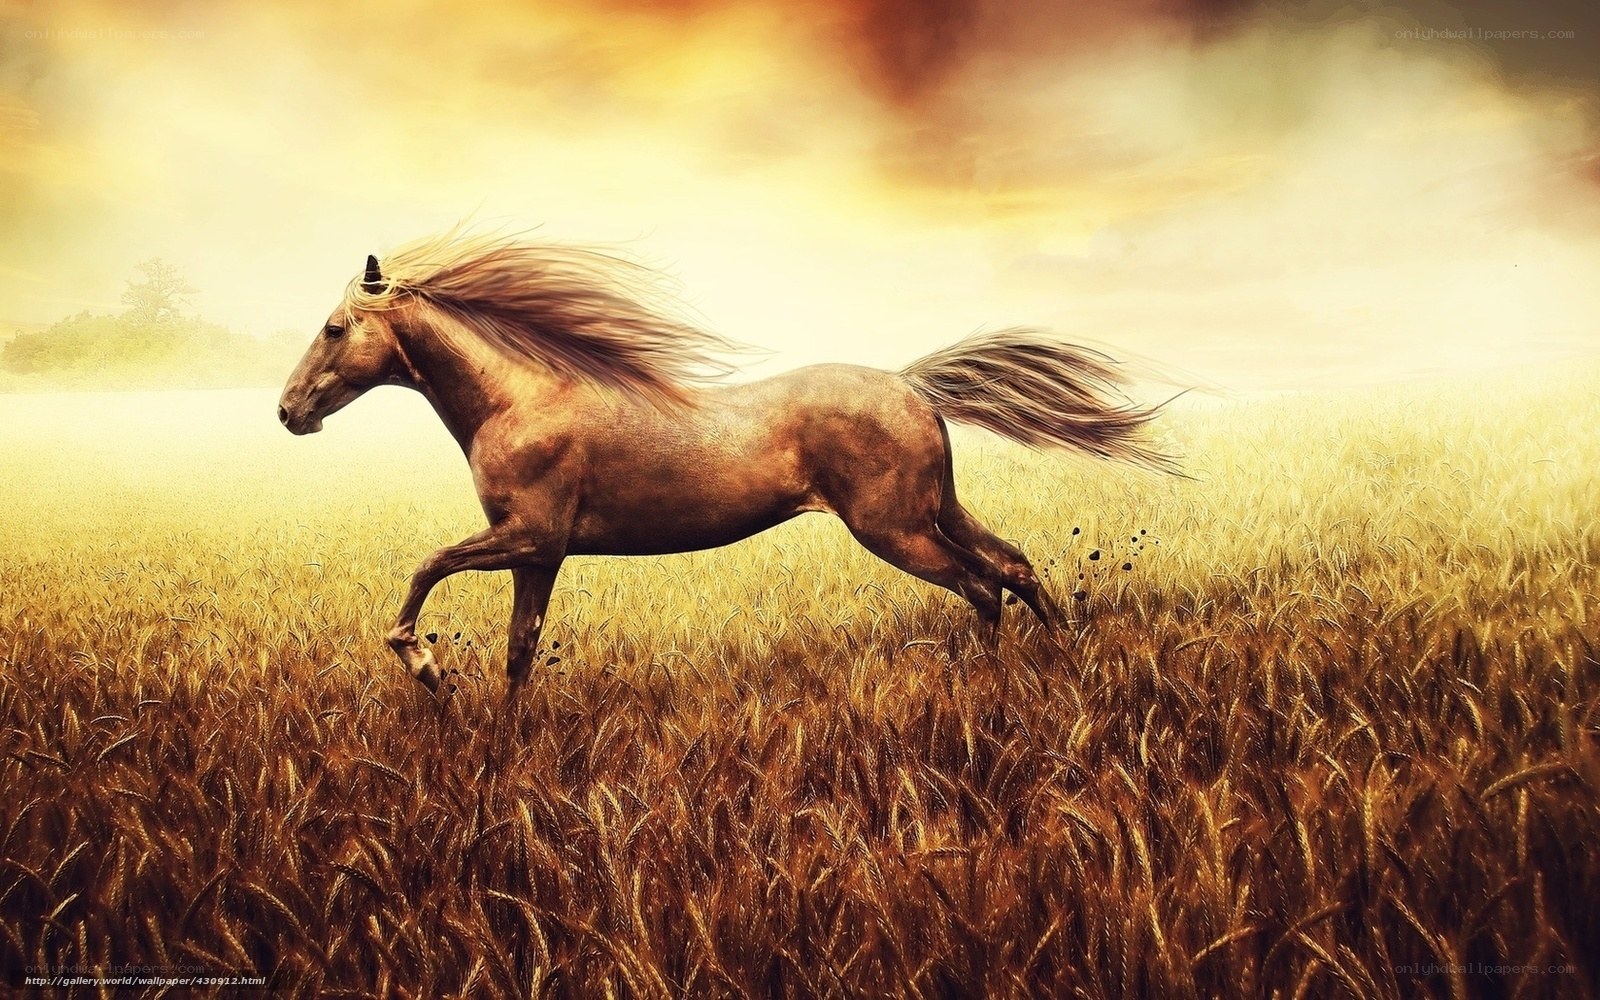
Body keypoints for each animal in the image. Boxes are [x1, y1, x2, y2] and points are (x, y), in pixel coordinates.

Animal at [277, 231, 1175, 694]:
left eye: (333, 327)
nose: (288, 412)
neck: (519, 400)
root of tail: (912, 385)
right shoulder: (539, 555)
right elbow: (519, 653)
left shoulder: (529, 537)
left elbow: (427, 567)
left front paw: (425, 665)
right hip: (934, 509)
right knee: (1014, 565)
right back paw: (1063, 661)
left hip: (893, 528)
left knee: (982, 585)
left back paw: (996, 687)